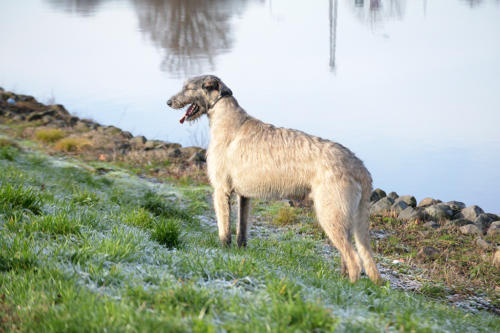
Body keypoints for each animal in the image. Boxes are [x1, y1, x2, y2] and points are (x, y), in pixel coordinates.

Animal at [166, 74, 380, 282]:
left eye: (187, 88)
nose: (168, 102)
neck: (224, 115)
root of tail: (360, 167)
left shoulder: (221, 189)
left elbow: (224, 229)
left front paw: (223, 252)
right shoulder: (244, 195)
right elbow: (241, 229)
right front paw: (240, 253)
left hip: (330, 212)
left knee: (354, 259)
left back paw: (348, 286)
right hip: (345, 215)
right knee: (349, 253)